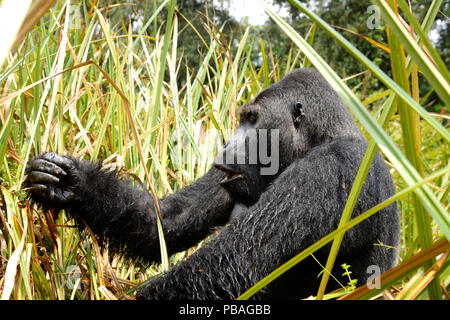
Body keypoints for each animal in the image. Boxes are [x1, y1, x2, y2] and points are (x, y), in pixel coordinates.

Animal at [24, 68, 400, 300]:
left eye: (252, 120)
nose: (228, 143)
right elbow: (165, 219)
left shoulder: (329, 168)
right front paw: (73, 183)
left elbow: (231, 265)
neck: (323, 137)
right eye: (243, 120)